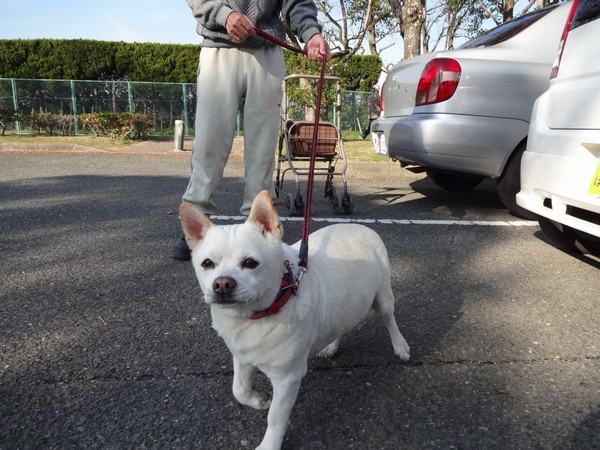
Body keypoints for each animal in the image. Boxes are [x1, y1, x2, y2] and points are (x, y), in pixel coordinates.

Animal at [180, 191, 410, 450]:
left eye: (250, 263)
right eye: (207, 264)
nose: (222, 284)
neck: (253, 316)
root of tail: (360, 226)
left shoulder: (287, 378)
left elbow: (276, 417)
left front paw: (268, 445)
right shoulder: (242, 357)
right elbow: (238, 390)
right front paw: (259, 400)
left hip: (383, 298)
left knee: (390, 320)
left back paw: (400, 347)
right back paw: (331, 347)